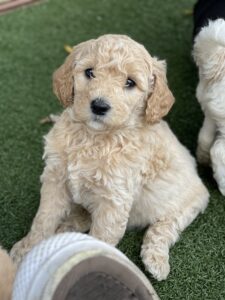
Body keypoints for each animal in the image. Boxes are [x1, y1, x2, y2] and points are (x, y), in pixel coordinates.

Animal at [11, 34, 209, 280]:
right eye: (89, 72)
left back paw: (156, 260)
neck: (93, 137)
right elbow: (43, 218)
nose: (99, 106)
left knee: (164, 228)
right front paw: (26, 249)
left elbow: (100, 240)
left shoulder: (114, 202)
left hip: (187, 206)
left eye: (130, 82)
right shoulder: (55, 179)